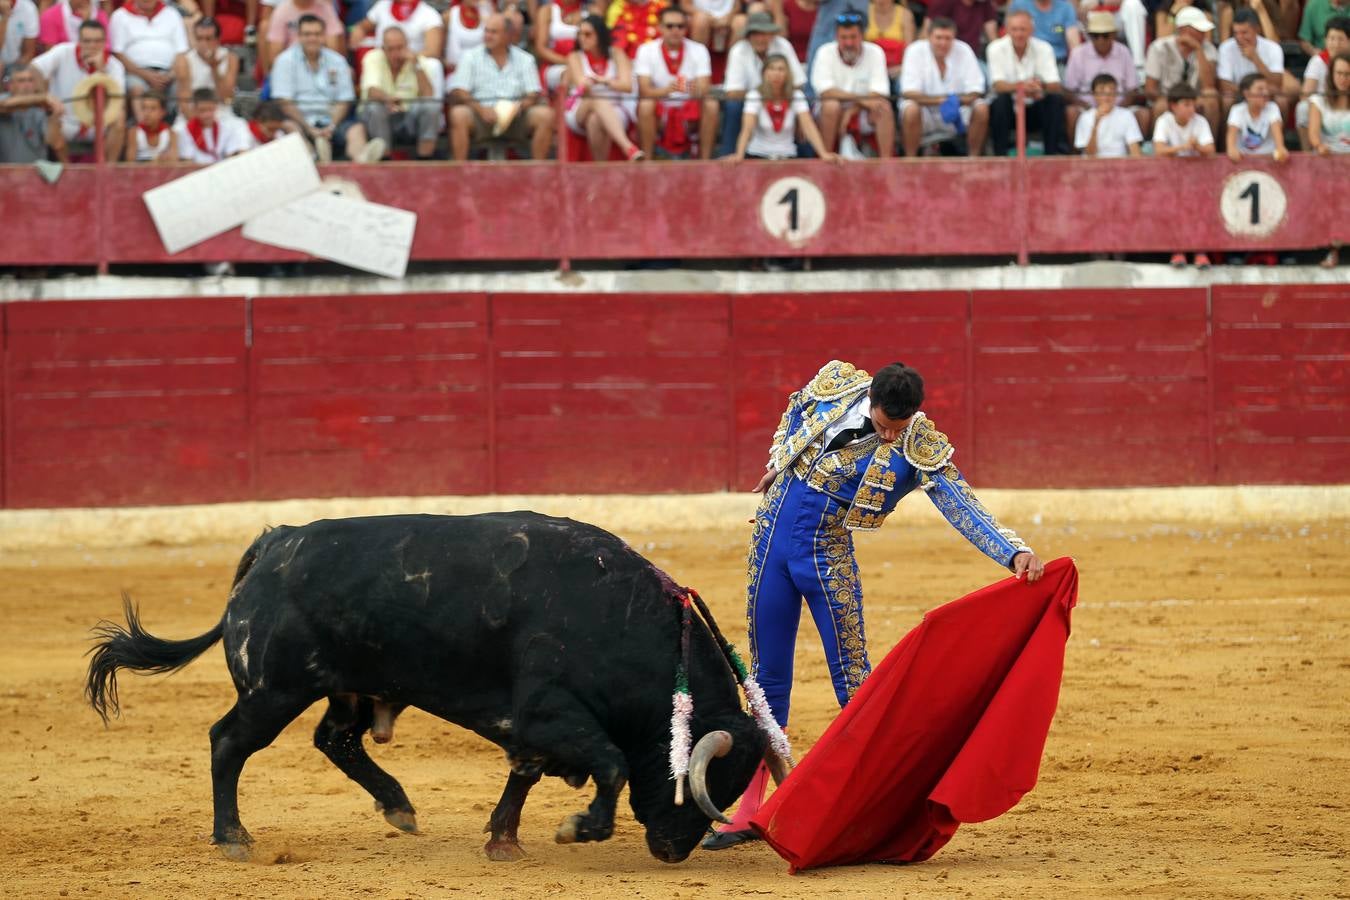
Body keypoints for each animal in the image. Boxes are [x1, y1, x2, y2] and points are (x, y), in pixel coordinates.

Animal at [89, 510, 777, 863]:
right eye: (707, 781)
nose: (673, 850)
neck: (623, 620)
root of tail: (275, 542)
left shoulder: (534, 727)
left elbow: (525, 774)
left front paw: (503, 842)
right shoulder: (547, 712)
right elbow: (608, 763)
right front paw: (578, 829)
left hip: (346, 687)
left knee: (334, 741)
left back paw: (399, 806)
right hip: (273, 690)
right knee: (228, 742)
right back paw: (232, 838)